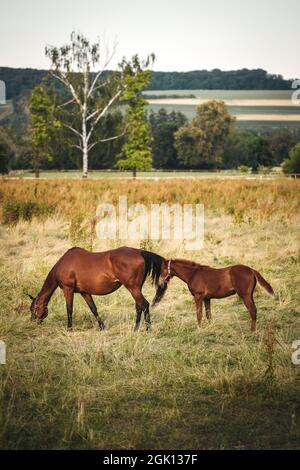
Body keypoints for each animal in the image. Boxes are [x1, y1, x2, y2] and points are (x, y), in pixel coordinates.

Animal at [28, 246, 164, 330]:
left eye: (34, 308)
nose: (33, 322)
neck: (64, 264)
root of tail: (139, 252)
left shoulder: (68, 290)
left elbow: (69, 309)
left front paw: (69, 328)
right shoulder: (84, 292)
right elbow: (93, 309)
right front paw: (102, 327)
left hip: (133, 289)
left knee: (144, 305)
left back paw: (147, 329)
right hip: (136, 289)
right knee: (139, 307)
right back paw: (135, 329)